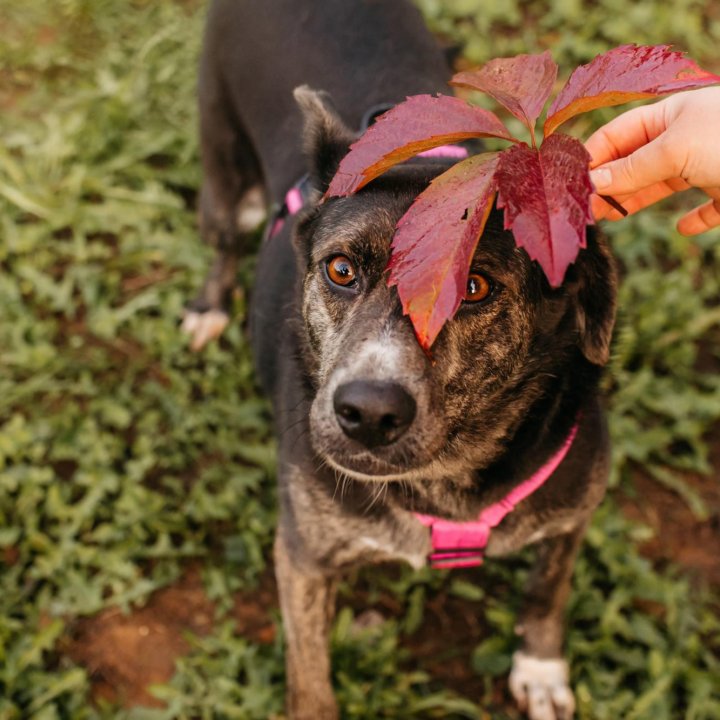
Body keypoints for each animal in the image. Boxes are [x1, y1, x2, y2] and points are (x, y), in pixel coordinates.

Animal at [186, 2, 620, 716]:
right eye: (340, 270)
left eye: (474, 287)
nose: (367, 413)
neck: (444, 477)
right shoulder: (302, 556)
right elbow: (310, 672)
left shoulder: (574, 513)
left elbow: (547, 589)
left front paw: (540, 666)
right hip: (222, 158)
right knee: (222, 232)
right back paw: (209, 304)